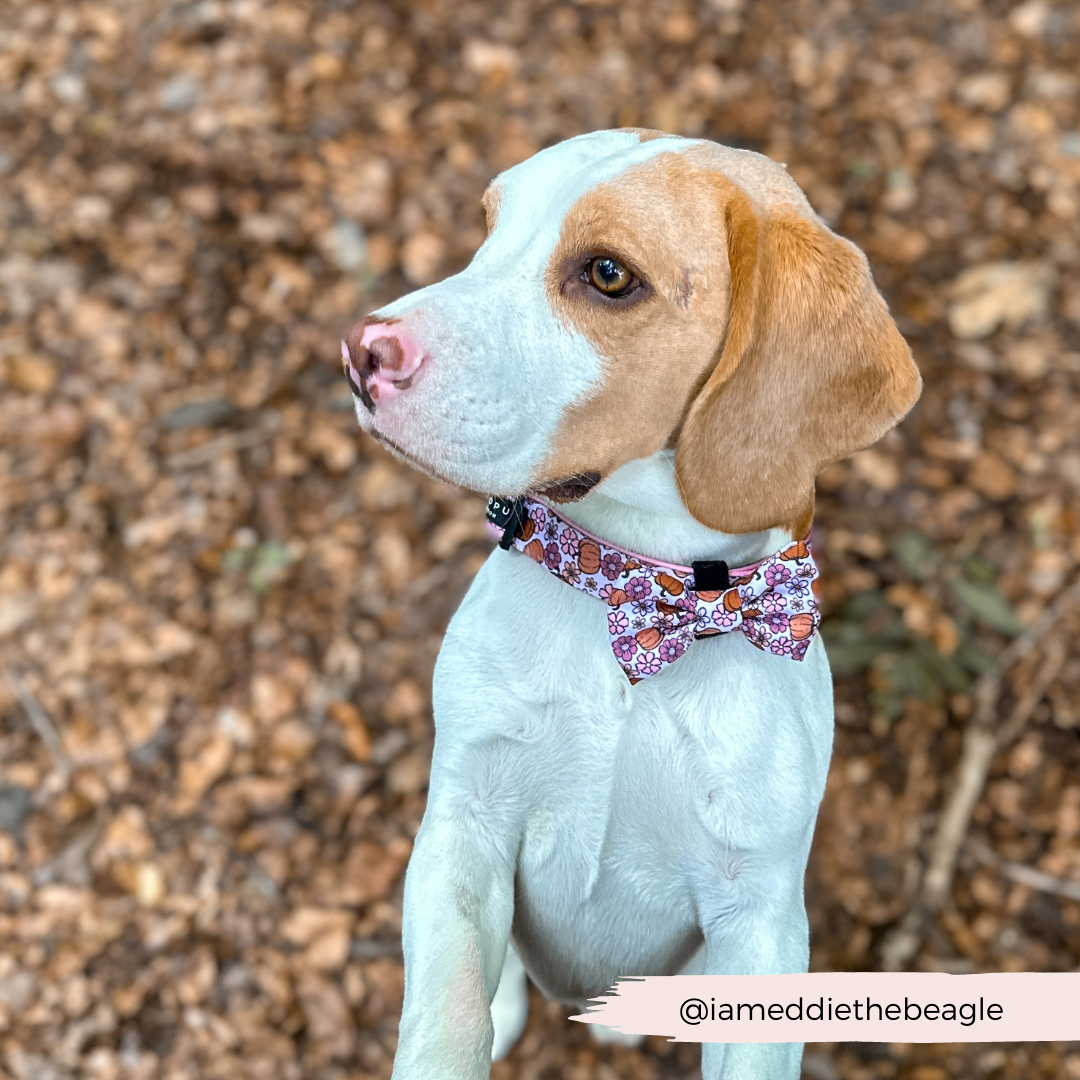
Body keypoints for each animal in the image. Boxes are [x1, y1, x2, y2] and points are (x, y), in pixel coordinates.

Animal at [339, 128, 920, 1080]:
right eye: (489, 228)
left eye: (608, 275)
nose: (361, 350)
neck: (635, 604)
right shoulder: (465, 830)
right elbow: (447, 1018)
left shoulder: (759, 923)